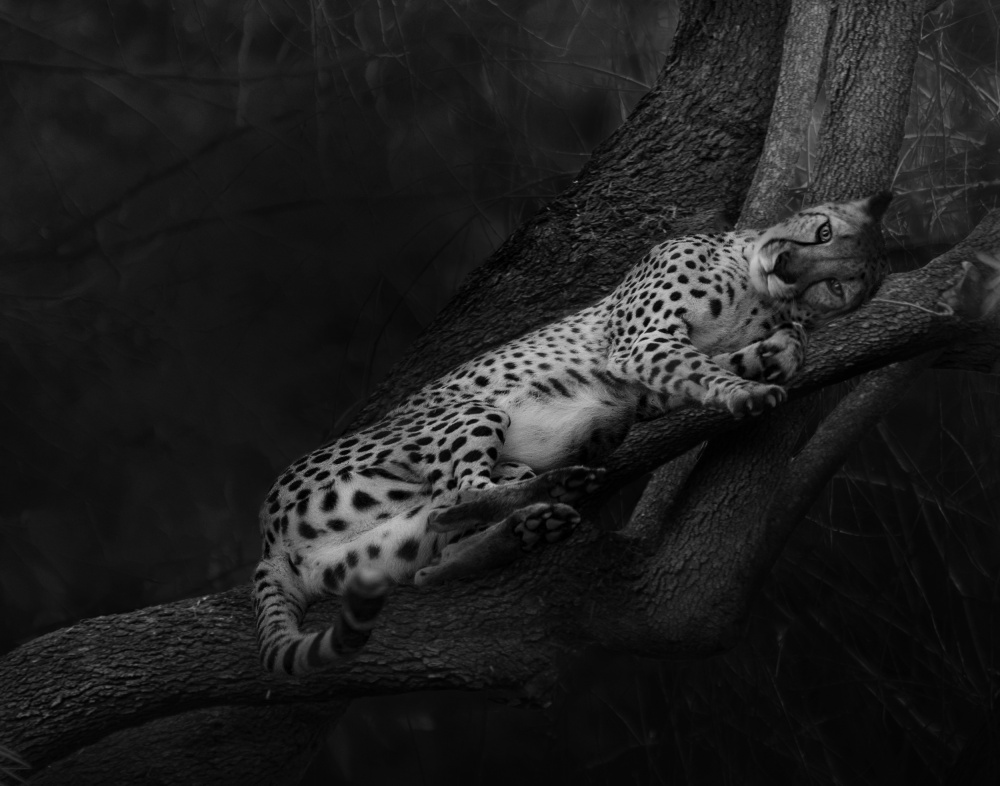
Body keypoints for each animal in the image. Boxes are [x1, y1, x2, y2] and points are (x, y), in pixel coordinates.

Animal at [252, 192, 893, 676]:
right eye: (823, 231)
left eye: (840, 286)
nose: (785, 267)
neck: (756, 291)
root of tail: (269, 538)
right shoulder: (642, 344)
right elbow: (707, 368)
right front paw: (748, 391)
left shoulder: (649, 383)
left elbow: (748, 354)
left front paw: (776, 357)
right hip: (471, 412)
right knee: (461, 493)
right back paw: (559, 489)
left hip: (391, 542)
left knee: (440, 539)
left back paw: (531, 523)